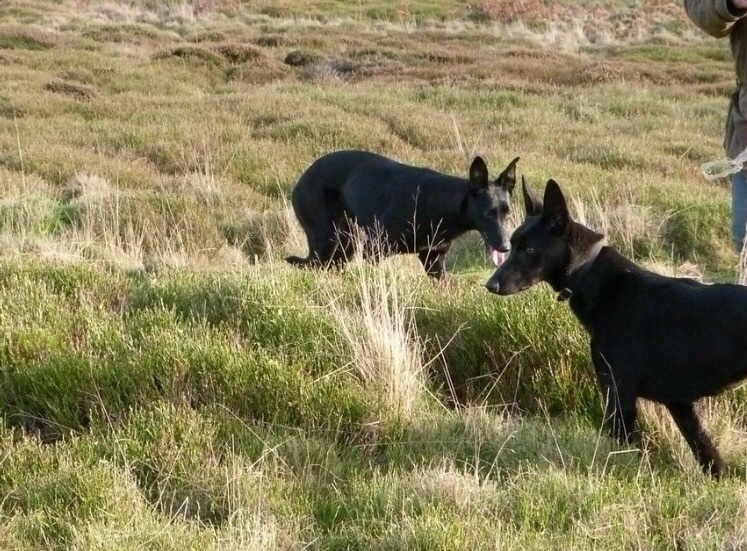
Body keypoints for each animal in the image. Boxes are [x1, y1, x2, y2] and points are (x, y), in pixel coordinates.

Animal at [286, 150, 520, 280]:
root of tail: (300, 181)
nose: (506, 247)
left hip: (344, 246)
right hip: (328, 241)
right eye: (488, 214)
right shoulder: (374, 251)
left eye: (507, 214)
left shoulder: (434, 261)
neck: (442, 204)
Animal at [486, 180, 747, 478]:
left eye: (529, 250)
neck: (588, 272)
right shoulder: (679, 403)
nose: (491, 285)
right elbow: (705, 448)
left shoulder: (618, 394)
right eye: (513, 245)